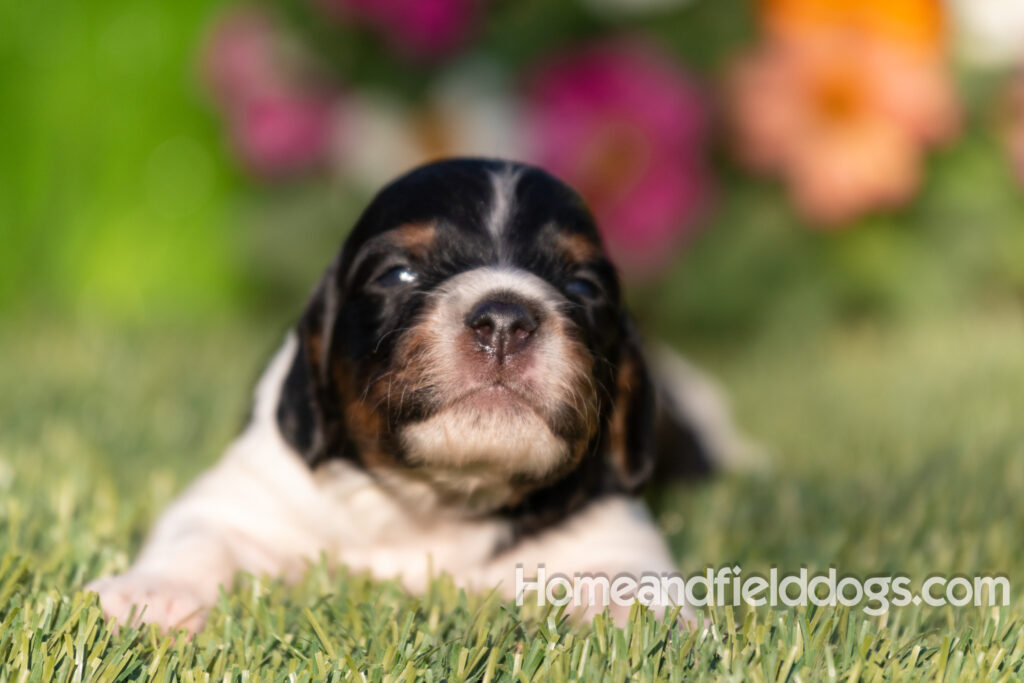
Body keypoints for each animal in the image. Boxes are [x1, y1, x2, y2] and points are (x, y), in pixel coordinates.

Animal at [88, 157, 753, 634]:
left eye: (585, 285)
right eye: (396, 274)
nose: (505, 319)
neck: (435, 501)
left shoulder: (612, 521)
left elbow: (630, 571)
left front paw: (643, 617)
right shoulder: (251, 493)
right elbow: (197, 535)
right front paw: (152, 595)